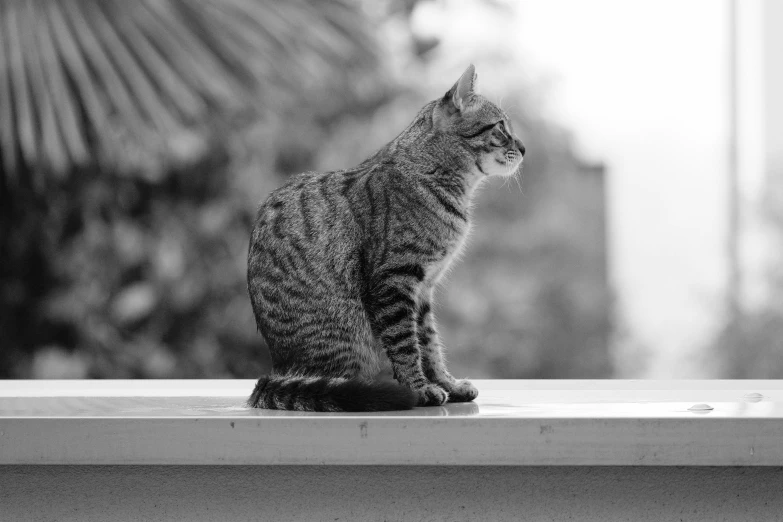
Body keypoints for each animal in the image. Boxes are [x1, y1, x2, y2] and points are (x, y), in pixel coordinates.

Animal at [248, 65, 524, 408]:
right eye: (500, 127)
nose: (524, 148)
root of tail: (278, 370)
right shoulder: (394, 279)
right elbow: (405, 344)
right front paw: (419, 388)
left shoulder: (423, 288)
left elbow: (429, 343)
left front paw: (446, 382)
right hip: (348, 331)